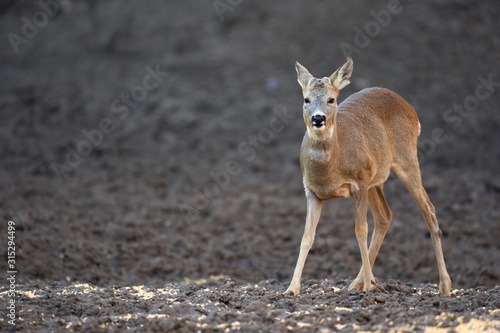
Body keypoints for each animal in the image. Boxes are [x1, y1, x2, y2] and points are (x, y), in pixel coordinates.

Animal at [286, 57, 454, 296]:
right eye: (306, 99)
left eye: (331, 99)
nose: (318, 118)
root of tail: (410, 107)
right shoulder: (312, 191)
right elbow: (307, 237)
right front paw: (291, 290)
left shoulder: (358, 182)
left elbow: (360, 230)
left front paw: (368, 287)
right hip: (375, 180)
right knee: (385, 215)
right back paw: (359, 282)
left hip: (406, 159)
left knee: (428, 210)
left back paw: (444, 286)